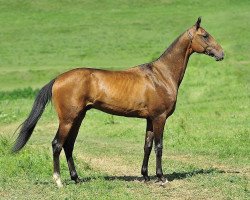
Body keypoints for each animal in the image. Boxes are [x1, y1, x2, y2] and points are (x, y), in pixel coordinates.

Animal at [12, 17, 225, 188]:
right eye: (205, 35)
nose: (221, 54)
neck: (161, 75)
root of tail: (58, 79)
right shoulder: (160, 118)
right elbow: (159, 147)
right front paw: (161, 177)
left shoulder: (150, 119)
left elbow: (147, 146)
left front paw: (145, 176)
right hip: (67, 119)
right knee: (57, 144)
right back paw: (59, 181)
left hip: (78, 118)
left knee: (69, 145)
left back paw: (76, 178)